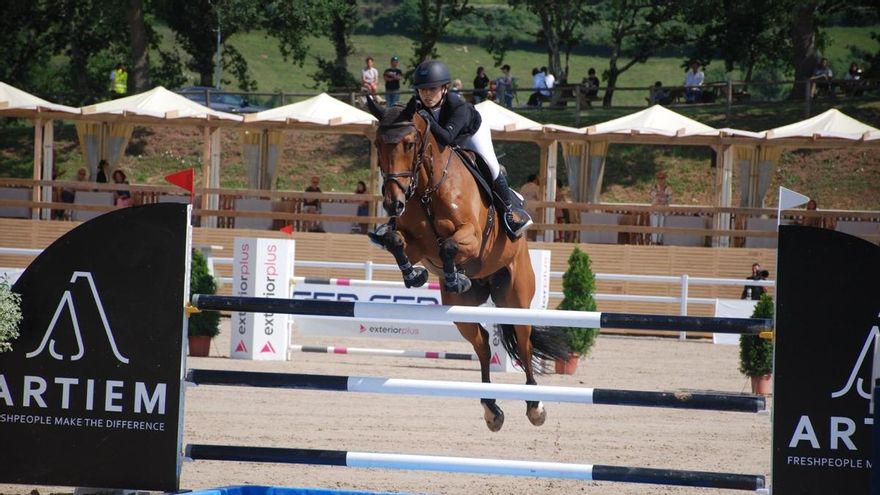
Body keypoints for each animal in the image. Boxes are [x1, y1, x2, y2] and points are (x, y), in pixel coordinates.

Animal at [366, 102, 568, 432]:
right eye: (377, 144)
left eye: (409, 143)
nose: (393, 203)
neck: (427, 188)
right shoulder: (417, 245)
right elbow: (396, 240)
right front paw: (416, 275)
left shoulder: (471, 237)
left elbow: (449, 245)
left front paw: (453, 276)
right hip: (462, 312)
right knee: (483, 344)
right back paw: (491, 409)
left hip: (515, 297)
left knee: (524, 344)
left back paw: (535, 406)